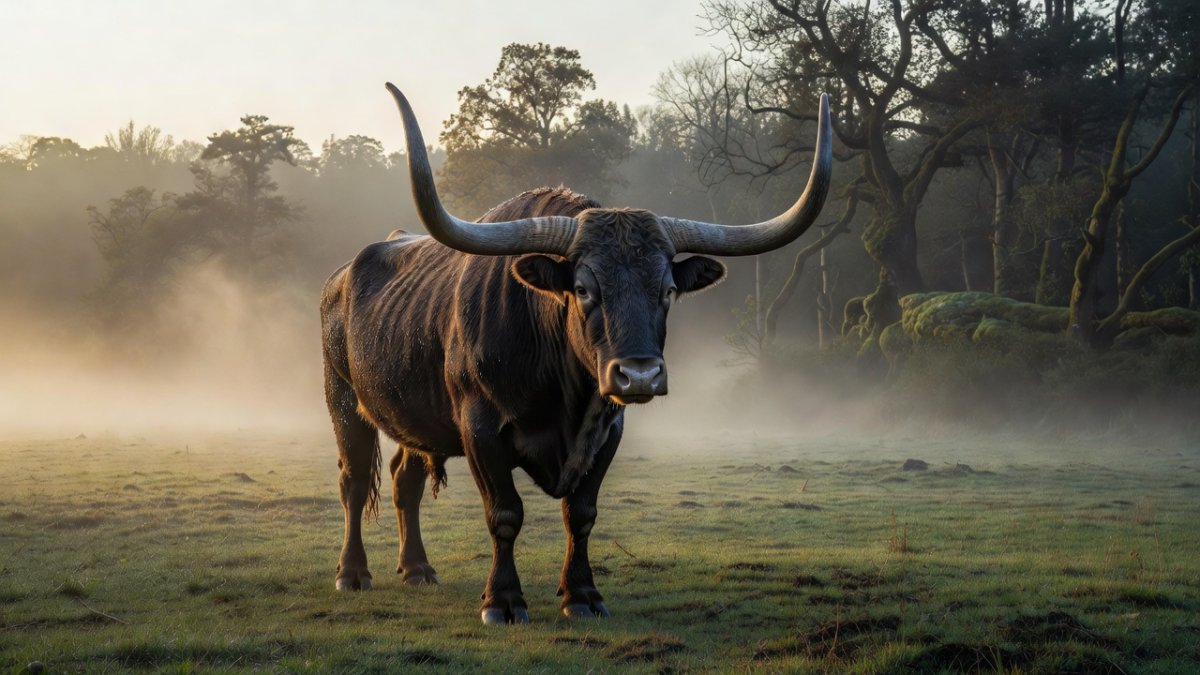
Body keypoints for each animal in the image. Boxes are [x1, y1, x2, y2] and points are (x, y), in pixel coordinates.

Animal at [320, 82, 831, 624]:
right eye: (584, 289)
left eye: (668, 289)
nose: (640, 376)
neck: (561, 391)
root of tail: (342, 276)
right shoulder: (480, 431)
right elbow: (505, 514)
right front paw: (503, 600)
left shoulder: (608, 432)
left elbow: (581, 513)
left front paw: (582, 594)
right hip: (343, 401)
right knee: (354, 480)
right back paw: (352, 573)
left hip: (415, 420)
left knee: (405, 481)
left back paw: (417, 569)